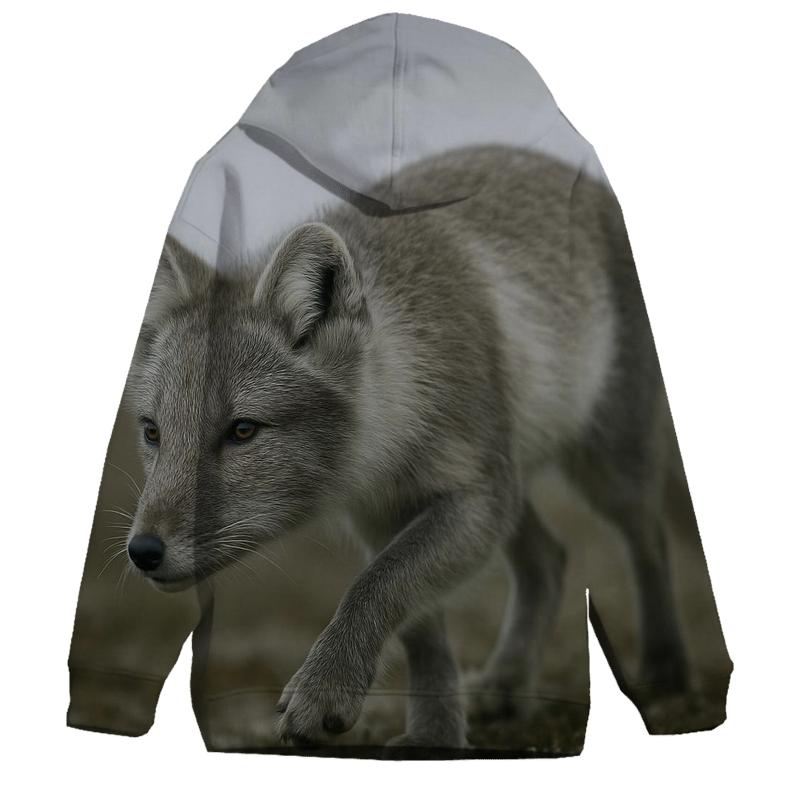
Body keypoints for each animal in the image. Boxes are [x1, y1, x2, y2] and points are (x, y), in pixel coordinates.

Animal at [122, 144, 689, 748]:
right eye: (153, 432)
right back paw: (508, 683)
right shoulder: (384, 516)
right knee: (550, 560)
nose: (143, 551)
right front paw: (433, 735)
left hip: (604, 469)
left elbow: (375, 587)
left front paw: (325, 688)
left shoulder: (474, 498)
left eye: (243, 431)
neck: (387, 445)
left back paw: (665, 670)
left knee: (649, 539)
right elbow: (418, 626)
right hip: (517, 485)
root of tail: (579, 173)